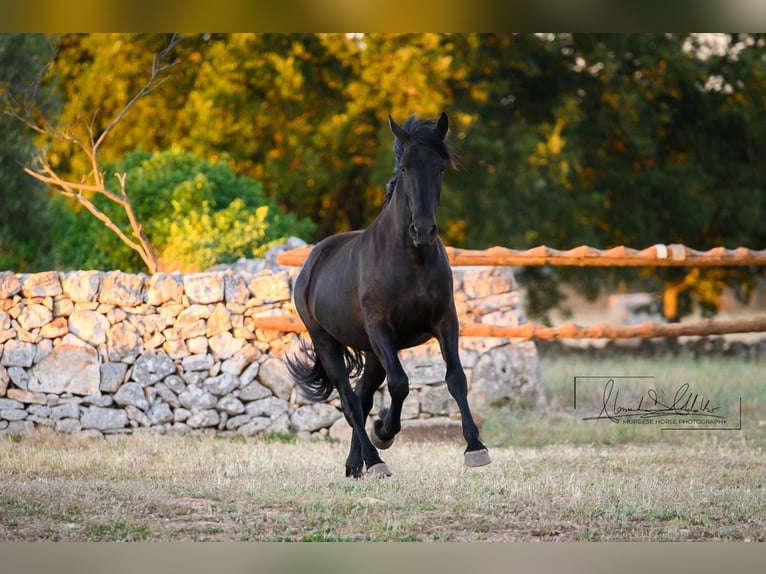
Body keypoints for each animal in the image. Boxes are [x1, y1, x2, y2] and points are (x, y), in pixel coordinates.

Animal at [287, 112, 491, 478]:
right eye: (405, 168)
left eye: (440, 168)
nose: (423, 230)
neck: (411, 259)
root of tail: (313, 261)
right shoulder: (381, 328)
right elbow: (400, 384)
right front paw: (384, 432)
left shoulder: (445, 321)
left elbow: (456, 378)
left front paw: (475, 448)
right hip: (327, 342)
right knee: (349, 401)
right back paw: (374, 458)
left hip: (370, 352)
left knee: (362, 396)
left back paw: (355, 464)